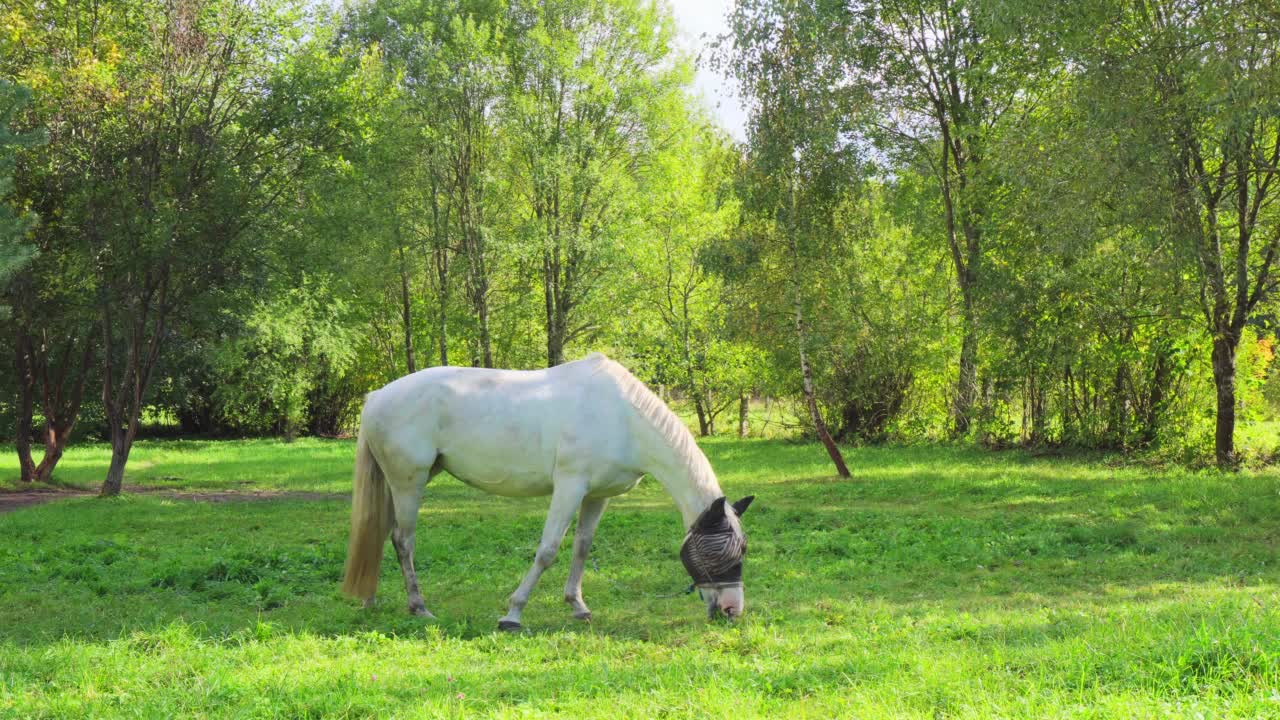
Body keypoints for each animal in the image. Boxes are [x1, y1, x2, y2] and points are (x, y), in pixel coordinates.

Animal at [345, 351, 752, 625]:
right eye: (721, 550)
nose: (732, 609)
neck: (622, 417)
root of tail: (376, 396)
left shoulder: (596, 496)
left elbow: (581, 549)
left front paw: (578, 606)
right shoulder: (569, 487)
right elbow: (548, 550)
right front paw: (513, 613)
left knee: (382, 534)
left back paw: (371, 600)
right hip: (409, 482)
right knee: (403, 540)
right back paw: (419, 607)